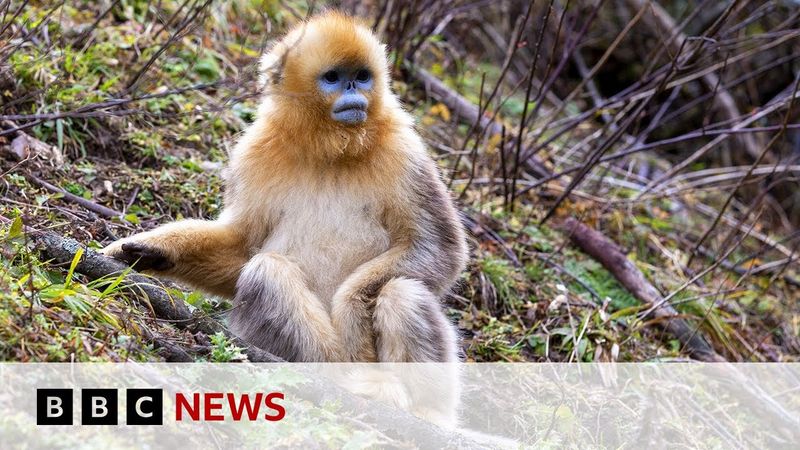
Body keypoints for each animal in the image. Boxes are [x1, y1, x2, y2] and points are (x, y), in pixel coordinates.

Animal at [101, 11, 468, 366]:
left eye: (362, 76)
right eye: (333, 78)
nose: (354, 89)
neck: (330, 151)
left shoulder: (406, 153)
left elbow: (438, 247)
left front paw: (351, 310)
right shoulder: (252, 152)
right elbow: (242, 247)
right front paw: (151, 251)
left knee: (401, 292)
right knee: (267, 271)